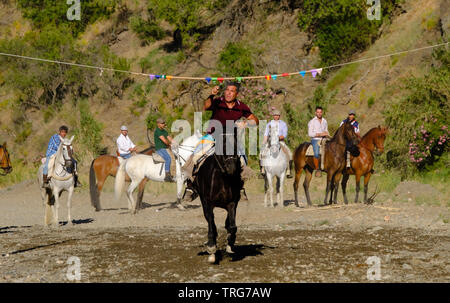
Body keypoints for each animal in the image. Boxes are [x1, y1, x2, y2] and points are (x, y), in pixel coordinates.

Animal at [193, 132, 243, 264]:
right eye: (223, 147)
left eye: (236, 146)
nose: (231, 168)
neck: (223, 179)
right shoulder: (208, 203)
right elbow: (211, 224)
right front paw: (211, 248)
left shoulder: (231, 203)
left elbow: (232, 226)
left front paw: (230, 244)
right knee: (210, 221)